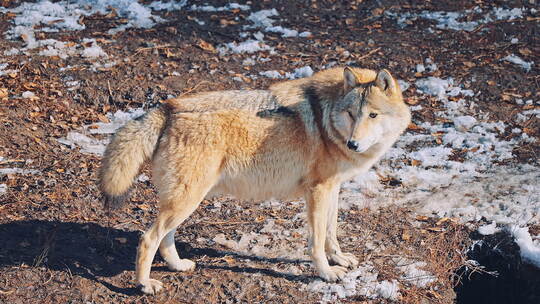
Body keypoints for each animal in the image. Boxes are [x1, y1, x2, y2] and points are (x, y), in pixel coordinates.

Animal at [98, 67, 410, 294]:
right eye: (351, 114)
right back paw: (144, 285)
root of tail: (168, 107)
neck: (328, 119)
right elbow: (317, 241)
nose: (353, 143)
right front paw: (326, 273)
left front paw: (339, 258)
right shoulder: (318, 191)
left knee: (165, 238)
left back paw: (177, 265)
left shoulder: (332, 188)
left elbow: (332, 232)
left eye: (372, 115)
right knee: (148, 238)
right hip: (186, 200)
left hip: (185, 201)